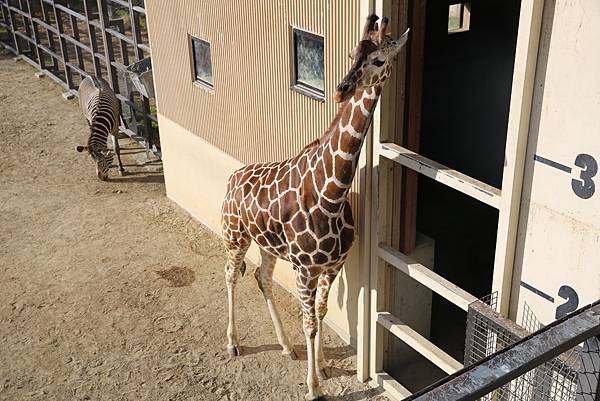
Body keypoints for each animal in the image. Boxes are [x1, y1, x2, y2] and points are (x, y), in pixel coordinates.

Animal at [223, 14, 410, 398]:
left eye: (379, 60)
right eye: (352, 52)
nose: (341, 88)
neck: (333, 193)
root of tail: (232, 177)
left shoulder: (333, 265)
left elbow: (321, 313)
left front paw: (322, 365)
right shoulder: (306, 269)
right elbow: (308, 322)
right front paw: (314, 387)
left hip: (267, 246)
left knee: (262, 278)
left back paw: (285, 345)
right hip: (235, 236)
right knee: (230, 276)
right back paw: (232, 343)